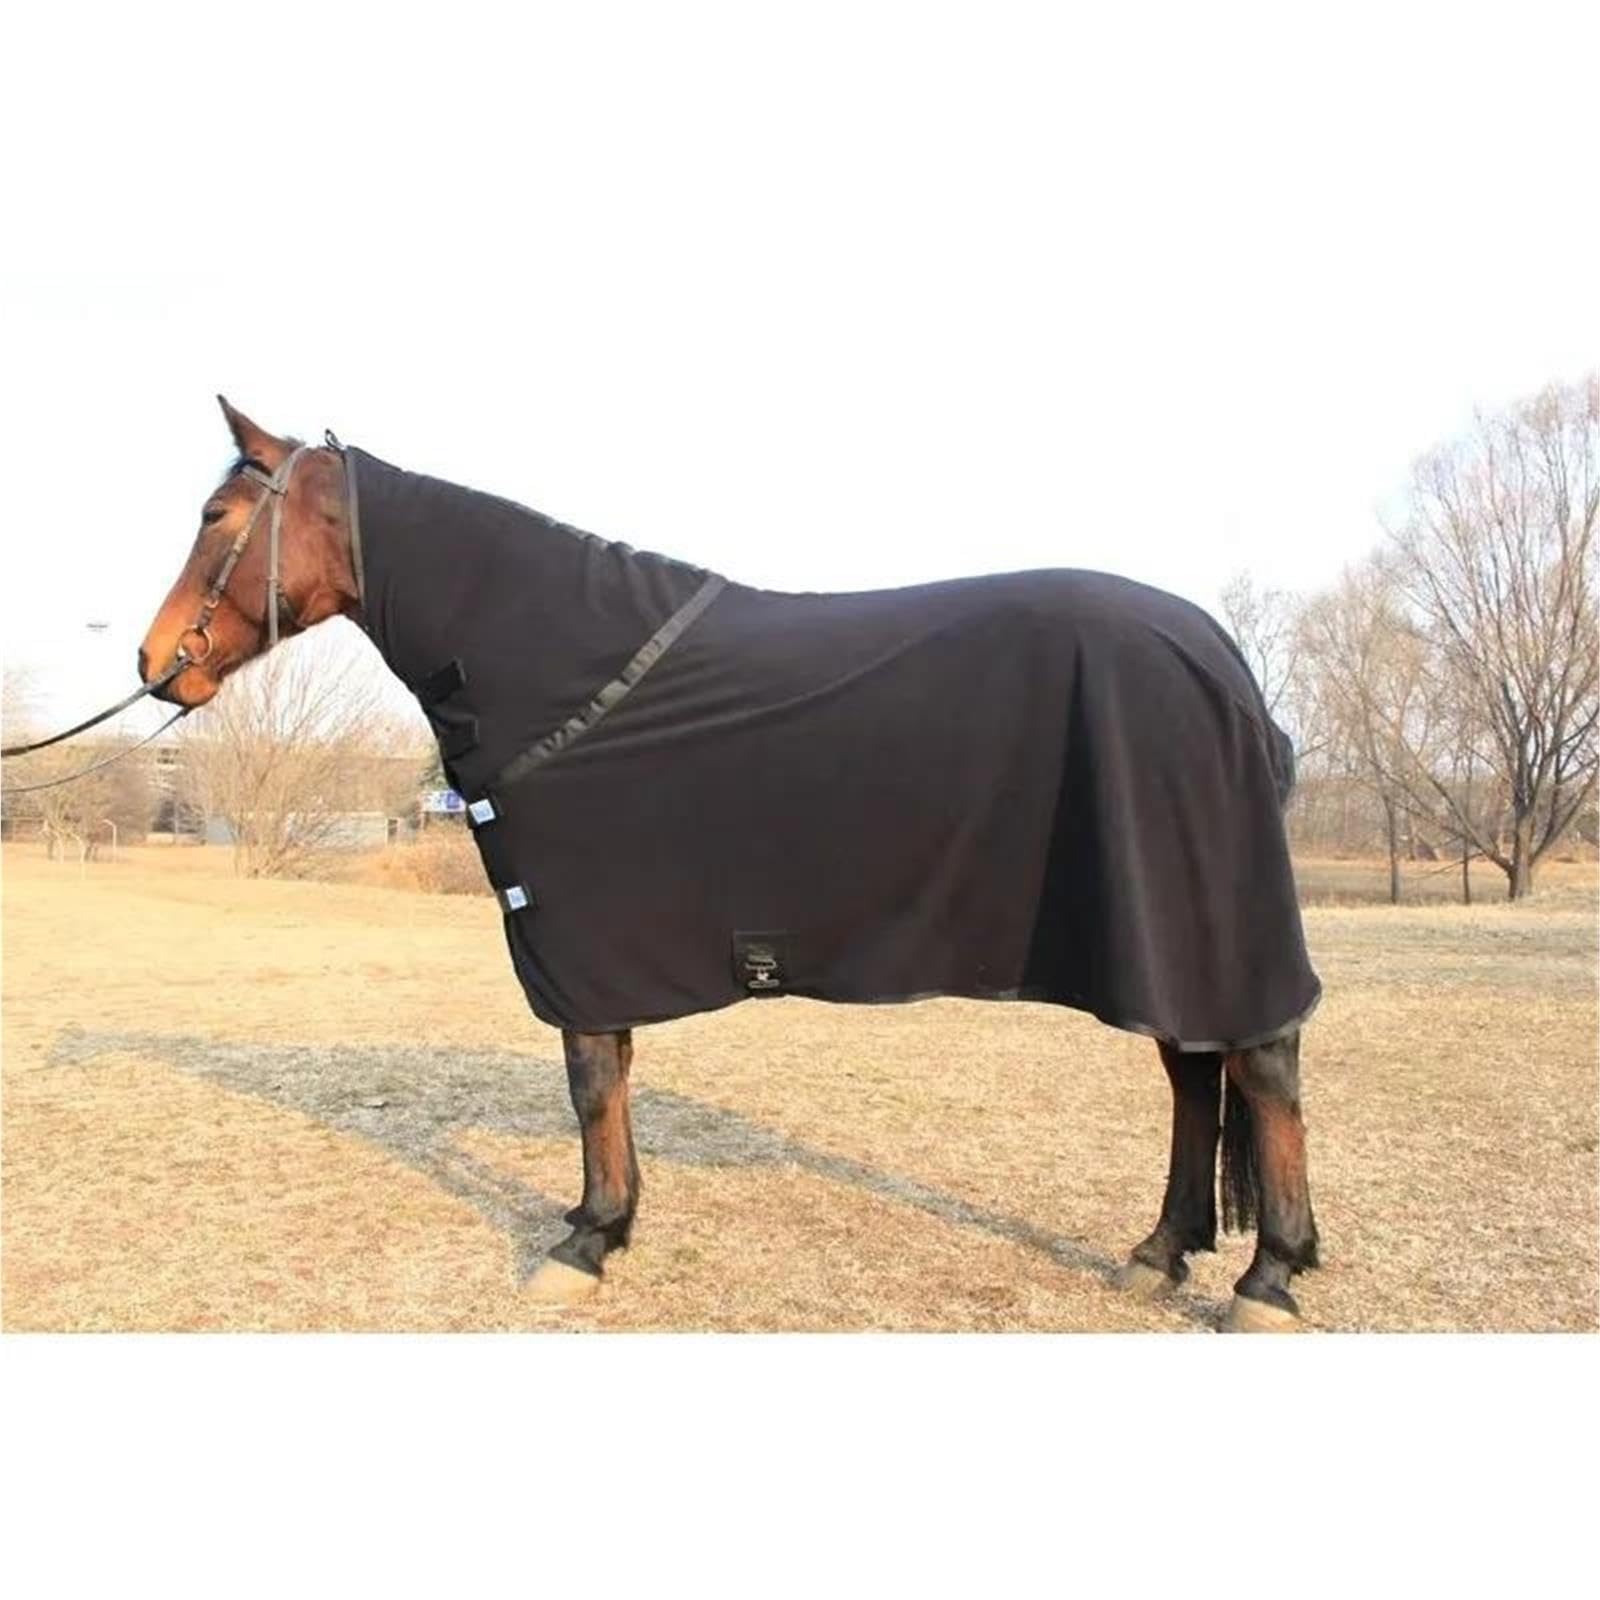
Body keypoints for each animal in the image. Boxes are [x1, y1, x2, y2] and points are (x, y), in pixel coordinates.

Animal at [138, 397, 1321, 1330]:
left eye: (215, 518)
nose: (155, 665)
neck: (558, 659)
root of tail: (1220, 658)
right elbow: (608, 1075)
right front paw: (602, 1222)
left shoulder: (580, 932)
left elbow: (590, 1079)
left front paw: (587, 1239)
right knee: (1191, 1069)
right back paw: (1159, 1252)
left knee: (1259, 1070)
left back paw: (1265, 1280)